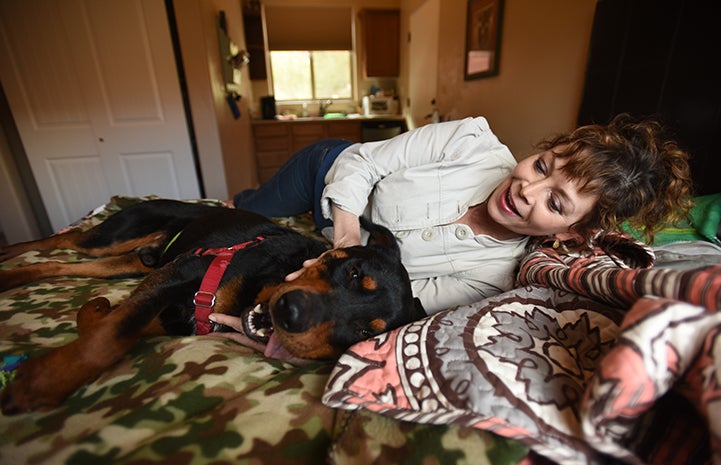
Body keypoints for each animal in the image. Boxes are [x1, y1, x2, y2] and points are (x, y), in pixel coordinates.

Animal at [0, 199, 424, 414]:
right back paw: (10, 253)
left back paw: (14, 274)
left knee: (59, 264)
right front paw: (44, 382)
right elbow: (113, 334)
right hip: (118, 235)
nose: (291, 311)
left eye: (363, 332)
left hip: (130, 262)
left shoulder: (172, 314)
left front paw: (91, 315)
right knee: (64, 240)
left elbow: (115, 327)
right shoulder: (185, 270)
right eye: (353, 272)